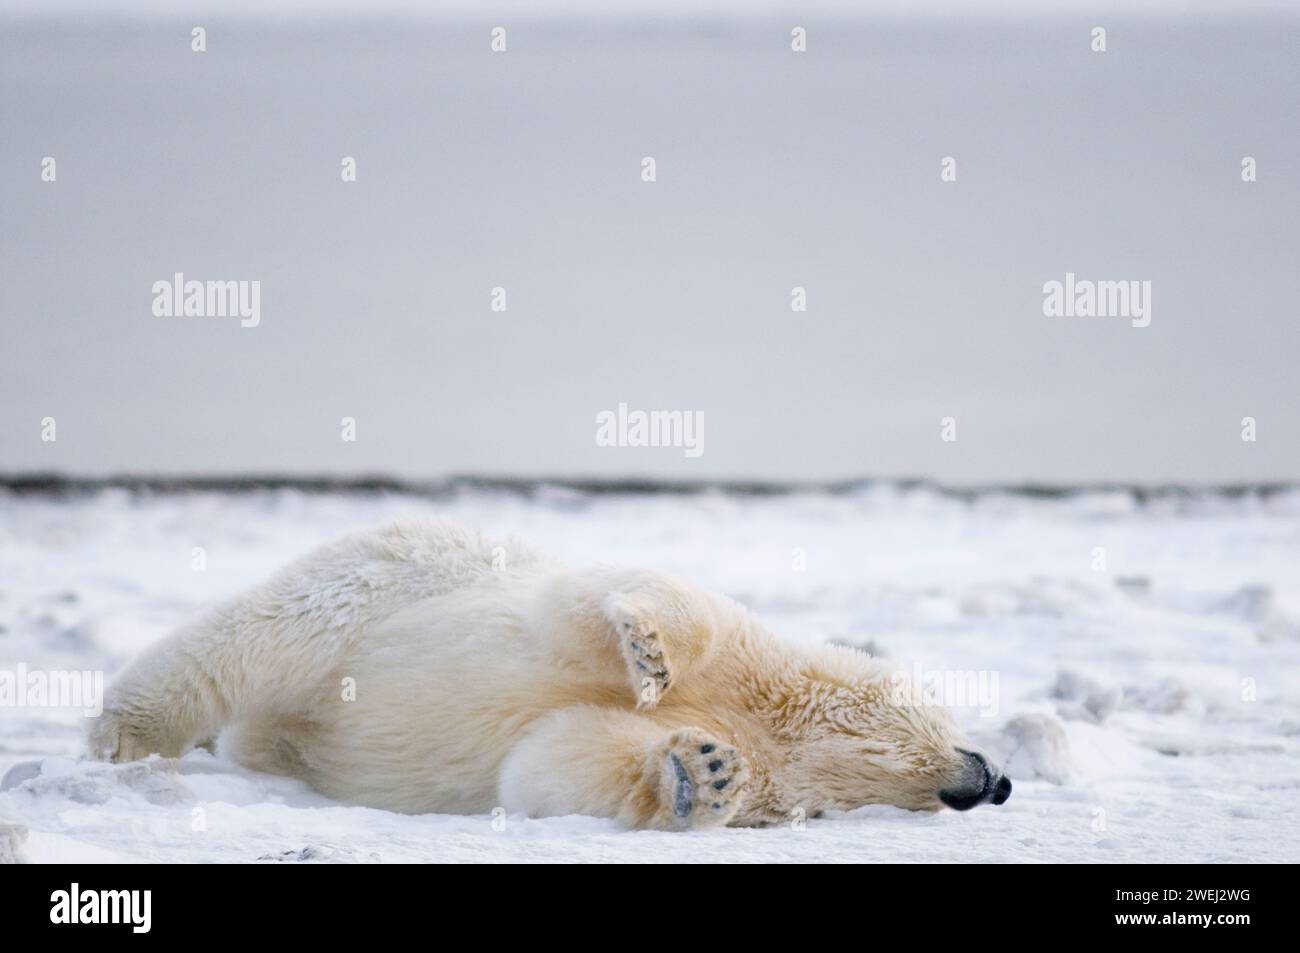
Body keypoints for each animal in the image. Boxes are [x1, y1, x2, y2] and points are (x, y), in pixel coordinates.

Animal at [91, 520, 1008, 826]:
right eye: (952, 719)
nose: (996, 779)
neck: (773, 715)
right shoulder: (745, 648)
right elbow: (616, 608)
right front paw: (648, 653)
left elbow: (549, 760)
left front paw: (702, 773)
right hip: (385, 582)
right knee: (255, 636)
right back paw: (123, 737)